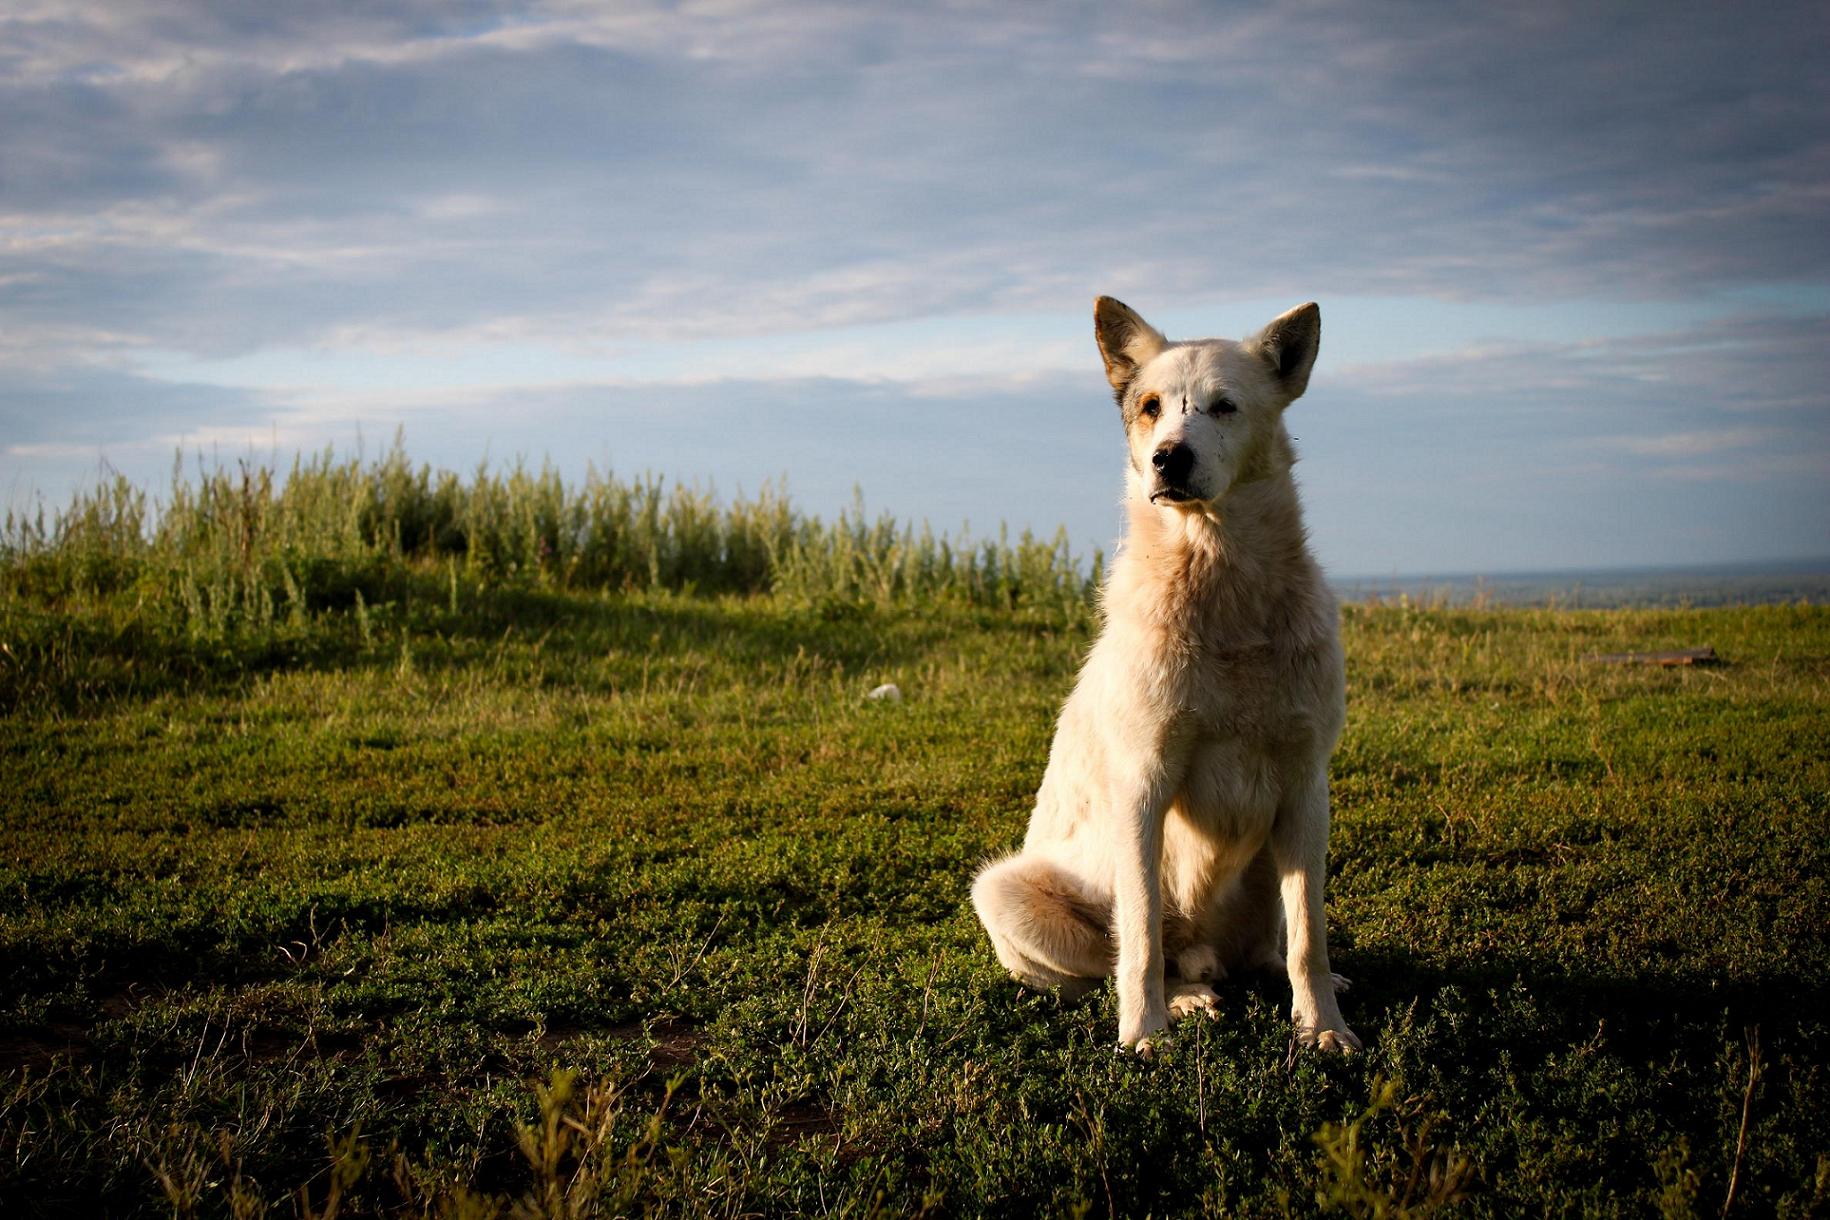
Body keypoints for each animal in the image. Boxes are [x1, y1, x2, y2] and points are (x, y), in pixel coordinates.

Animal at [973, 298, 1361, 1060]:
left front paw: (1322, 1024)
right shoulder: (1144, 784)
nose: (1168, 458)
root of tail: (1208, 953)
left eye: (1225, 406)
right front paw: (1145, 1029)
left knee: (1268, 946)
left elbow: (1311, 935)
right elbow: (1142, 935)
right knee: (1128, 956)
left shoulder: (1306, 784)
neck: (1222, 587)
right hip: (1004, 893)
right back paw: (1181, 997)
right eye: (1151, 407)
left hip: (1268, 867)